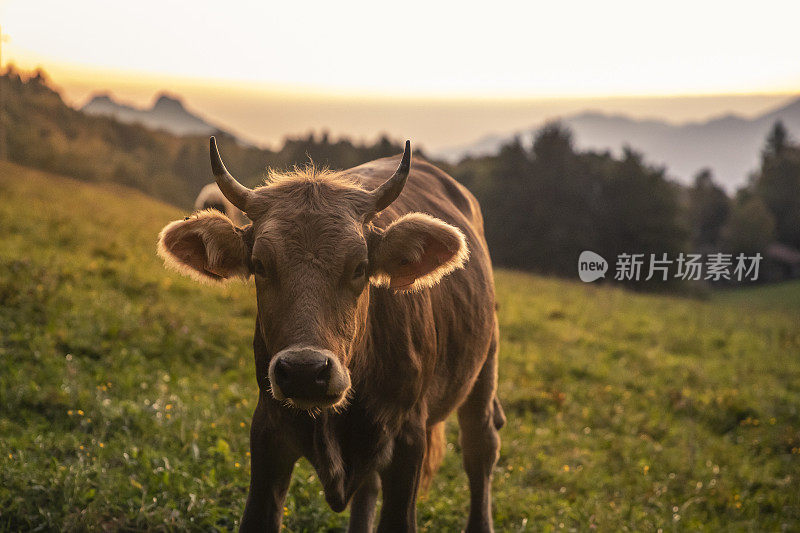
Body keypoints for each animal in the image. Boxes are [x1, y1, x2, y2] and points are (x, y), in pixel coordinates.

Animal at [157, 137, 504, 532]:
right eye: (260, 264)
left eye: (360, 267)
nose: (305, 371)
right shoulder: (267, 432)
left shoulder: (408, 439)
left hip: (485, 365)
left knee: (481, 447)